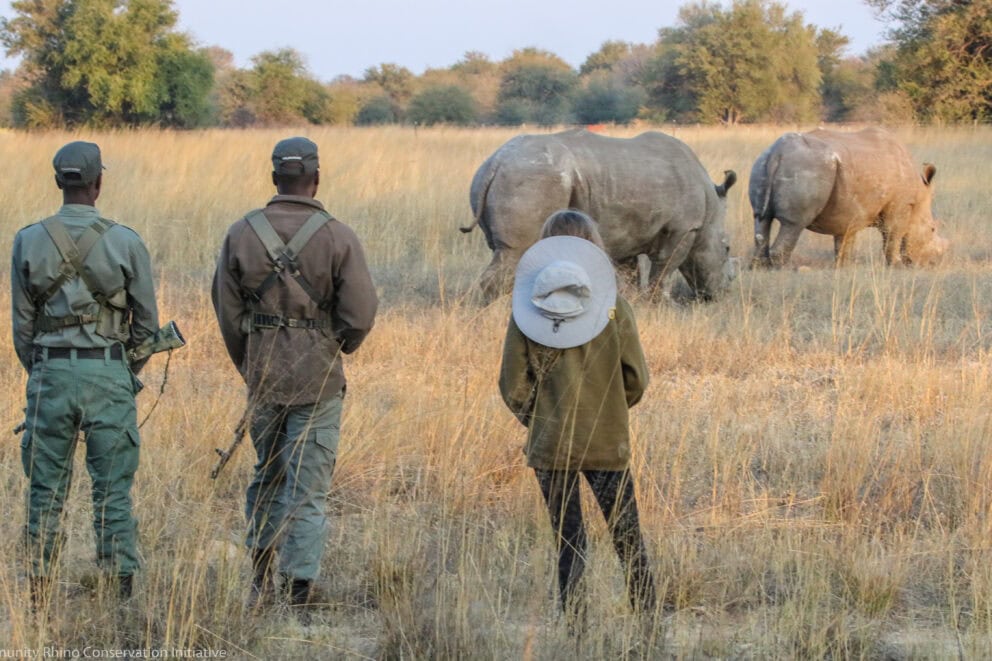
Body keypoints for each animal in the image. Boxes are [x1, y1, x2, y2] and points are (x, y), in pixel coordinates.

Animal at [461, 129, 737, 300]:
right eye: (726, 249)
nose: (721, 294)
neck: (711, 203)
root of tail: (497, 162)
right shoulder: (685, 227)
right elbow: (665, 267)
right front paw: (658, 303)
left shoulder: (627, 233)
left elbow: (630, 274)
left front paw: (634, 302)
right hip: (532, 177)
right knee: (516, 251)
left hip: (503, 177)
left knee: (505, 251)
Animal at [749, 128, 948, 268]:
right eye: (932, 229)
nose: (933, 263)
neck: (919, 193)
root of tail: (778, 151)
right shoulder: (899, 204)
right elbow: (893, 234)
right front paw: (897, 266)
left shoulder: (850, 211)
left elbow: (845, 241)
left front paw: (844, 267)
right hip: (807, 167)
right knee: (793, 224)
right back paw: (782, 270)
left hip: (763, 162)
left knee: (761, 219)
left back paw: (760, 268)